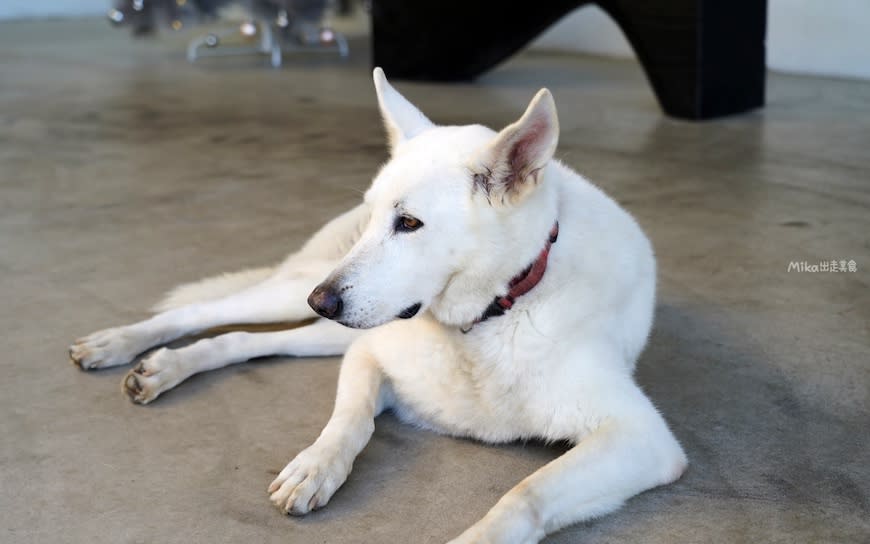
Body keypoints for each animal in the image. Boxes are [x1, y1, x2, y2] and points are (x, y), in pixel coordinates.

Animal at [68, 70, 688, 544]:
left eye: (409, 223)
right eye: (374, 216)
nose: (321, 300)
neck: (484, 321)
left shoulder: (641, 438)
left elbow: (524, 495)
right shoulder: (369, 355)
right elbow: (350, 420)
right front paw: (316, 466)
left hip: (329, 327)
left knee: (247, 341)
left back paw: (166, 366)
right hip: (308, 300)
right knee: (207, 315)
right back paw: (122, 344)